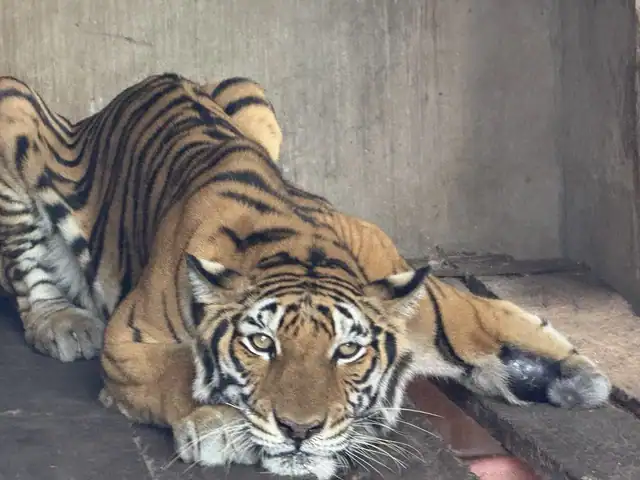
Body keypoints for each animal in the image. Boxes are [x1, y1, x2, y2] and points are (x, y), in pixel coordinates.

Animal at [0, 72, 610, 480]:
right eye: (260, 344)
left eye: (348, 352)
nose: (300, 431)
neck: (299, 249)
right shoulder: (128, 344)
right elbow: (179, 370)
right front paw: (218, 420)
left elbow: (478, 319)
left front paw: (575, 375)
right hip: (11, 98)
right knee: (27, 267)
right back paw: (62, 325)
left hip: (249, 90)